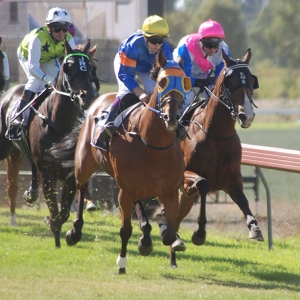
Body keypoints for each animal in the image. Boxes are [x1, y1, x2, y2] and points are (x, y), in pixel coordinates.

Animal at [0, 39, 95, 247]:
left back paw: (30, 195)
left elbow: (64, 212)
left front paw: (69, 233)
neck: (60, 121)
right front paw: (55, 227)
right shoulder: (48, 170)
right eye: (69, 66)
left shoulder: (69, 171)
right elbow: (54, 207)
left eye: (92, 66)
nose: (88, 96)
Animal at [64, 49, 191, 274]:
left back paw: (146, 237)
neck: (153, 145)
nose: (172, 117)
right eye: (162, 82)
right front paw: (122, 263)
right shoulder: (124, 191)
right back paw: (75, 232)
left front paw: (156, 240)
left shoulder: (169, 191)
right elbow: (125, 230)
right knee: (80, 185)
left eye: (185, 82)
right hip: (85, 163)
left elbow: (169, 233)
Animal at [136, 48, 262, 268]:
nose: (246, 116)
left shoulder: (231, 178)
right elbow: (203, 184)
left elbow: (243, 200)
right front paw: (199, 233)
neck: (216, 135)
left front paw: (254, 228)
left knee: (176, 217)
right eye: (230, 81)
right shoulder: (185, 177)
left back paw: (173, 250)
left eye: (250, 80)